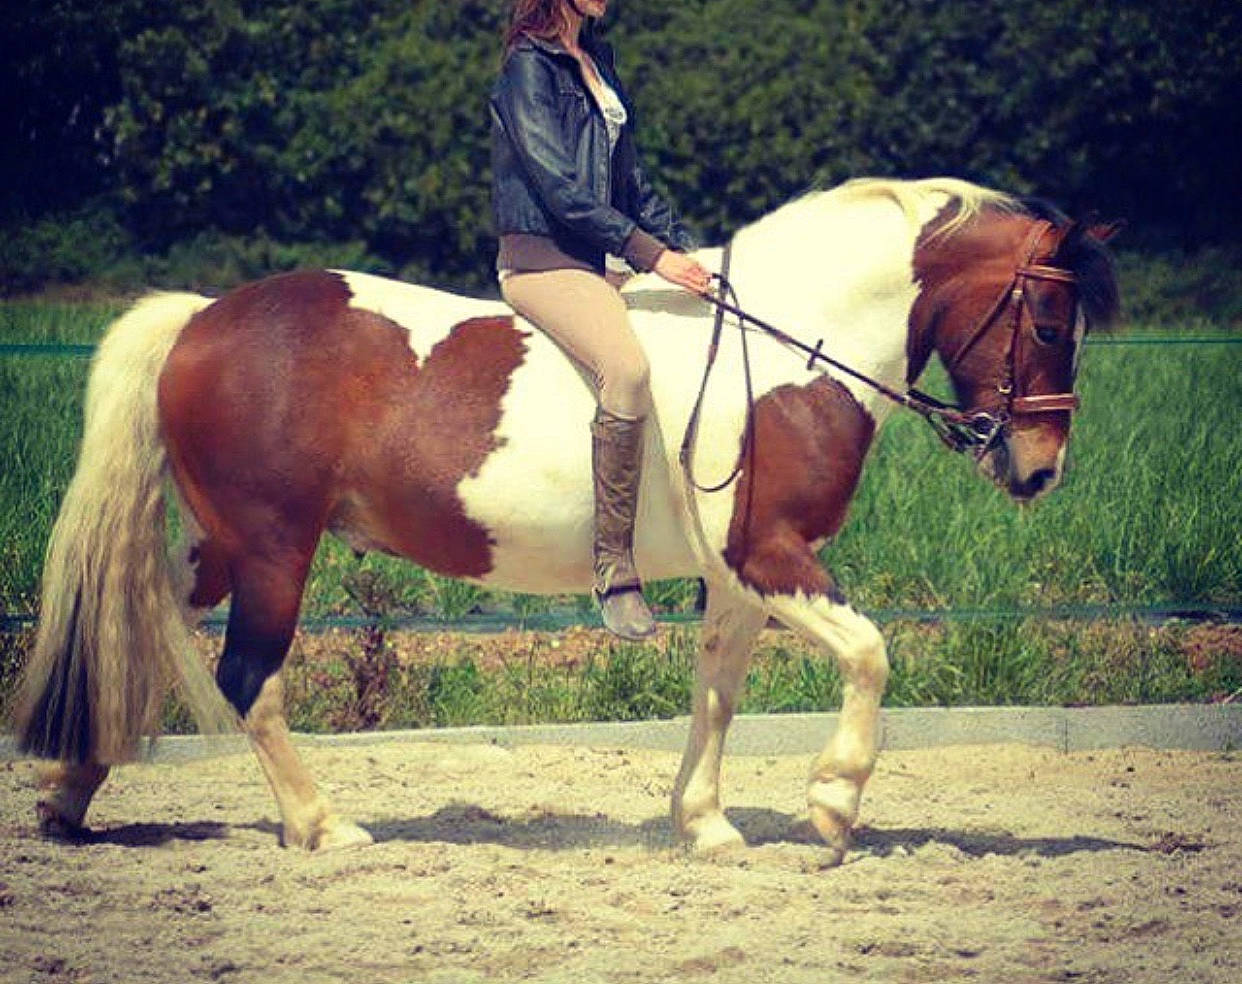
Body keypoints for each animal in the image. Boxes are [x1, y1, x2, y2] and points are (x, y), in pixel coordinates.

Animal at [14, 177, 1119, 863]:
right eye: (1049, 323)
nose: (1040, 470)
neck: (789, 348)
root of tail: (201, 317)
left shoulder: (736, 580)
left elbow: (716, 696)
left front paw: (707, 827)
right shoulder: (771, 555)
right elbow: (871, 654)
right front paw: (834, 804)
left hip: (224, 549)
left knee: (135, 631)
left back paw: (68, 796)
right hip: (275, 551)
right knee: (249, 683)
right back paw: (323, 828)